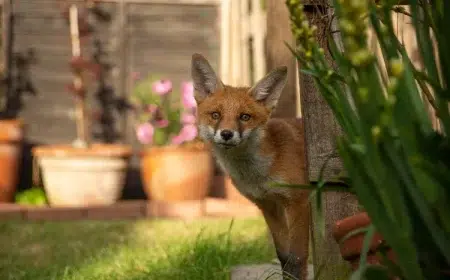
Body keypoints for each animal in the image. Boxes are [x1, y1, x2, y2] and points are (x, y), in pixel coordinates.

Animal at [189, 53, 310, 278]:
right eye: (216, 115)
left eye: (244, 117)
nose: (226, 134)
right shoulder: (268, 205)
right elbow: (284, 257)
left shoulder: (298, 201)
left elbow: (297, 258)